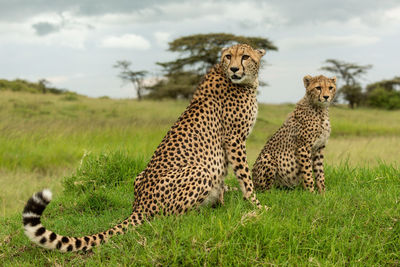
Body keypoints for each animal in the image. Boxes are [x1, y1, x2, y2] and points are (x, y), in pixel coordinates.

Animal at [21, 44, 266, 253]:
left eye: (245, 56)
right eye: (228, 56)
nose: (234, 68)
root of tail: (139, 206)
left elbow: (230, 181)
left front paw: (227, 202)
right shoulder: (234, 139)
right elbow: (245, 178)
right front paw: (256, 205)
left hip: (141, 176)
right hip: (200, 171)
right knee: (168, 219)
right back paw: (200, 215)